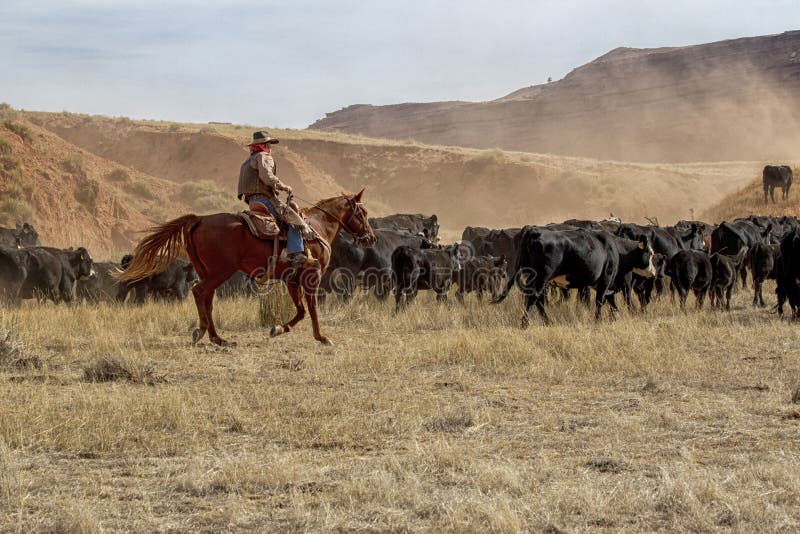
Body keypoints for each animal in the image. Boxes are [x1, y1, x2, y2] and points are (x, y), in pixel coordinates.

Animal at [120, 193, 376, 348]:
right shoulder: (311, 276)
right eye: (362, 213)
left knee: (207, 299)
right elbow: (312, 308)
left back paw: (218, 338)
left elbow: (301, 310)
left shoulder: (292, 280)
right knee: (199, 293)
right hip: (220, 271)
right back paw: (202, 332)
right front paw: (322, 337)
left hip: (207, 272)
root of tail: (199, 220)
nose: (371, 238)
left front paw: (278, 328)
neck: (317, 227)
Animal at [494, 227, 656, 326]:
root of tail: (534, 231)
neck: (615, 248)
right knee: (534, 299)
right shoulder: (606, 279)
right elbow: (600, 301)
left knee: (537, 300)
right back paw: (525, 323)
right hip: (541, 277)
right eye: (650, 253)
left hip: (532, 277)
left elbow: (611, 302)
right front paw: (598, 320)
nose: (654, 273)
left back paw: (546, 321)